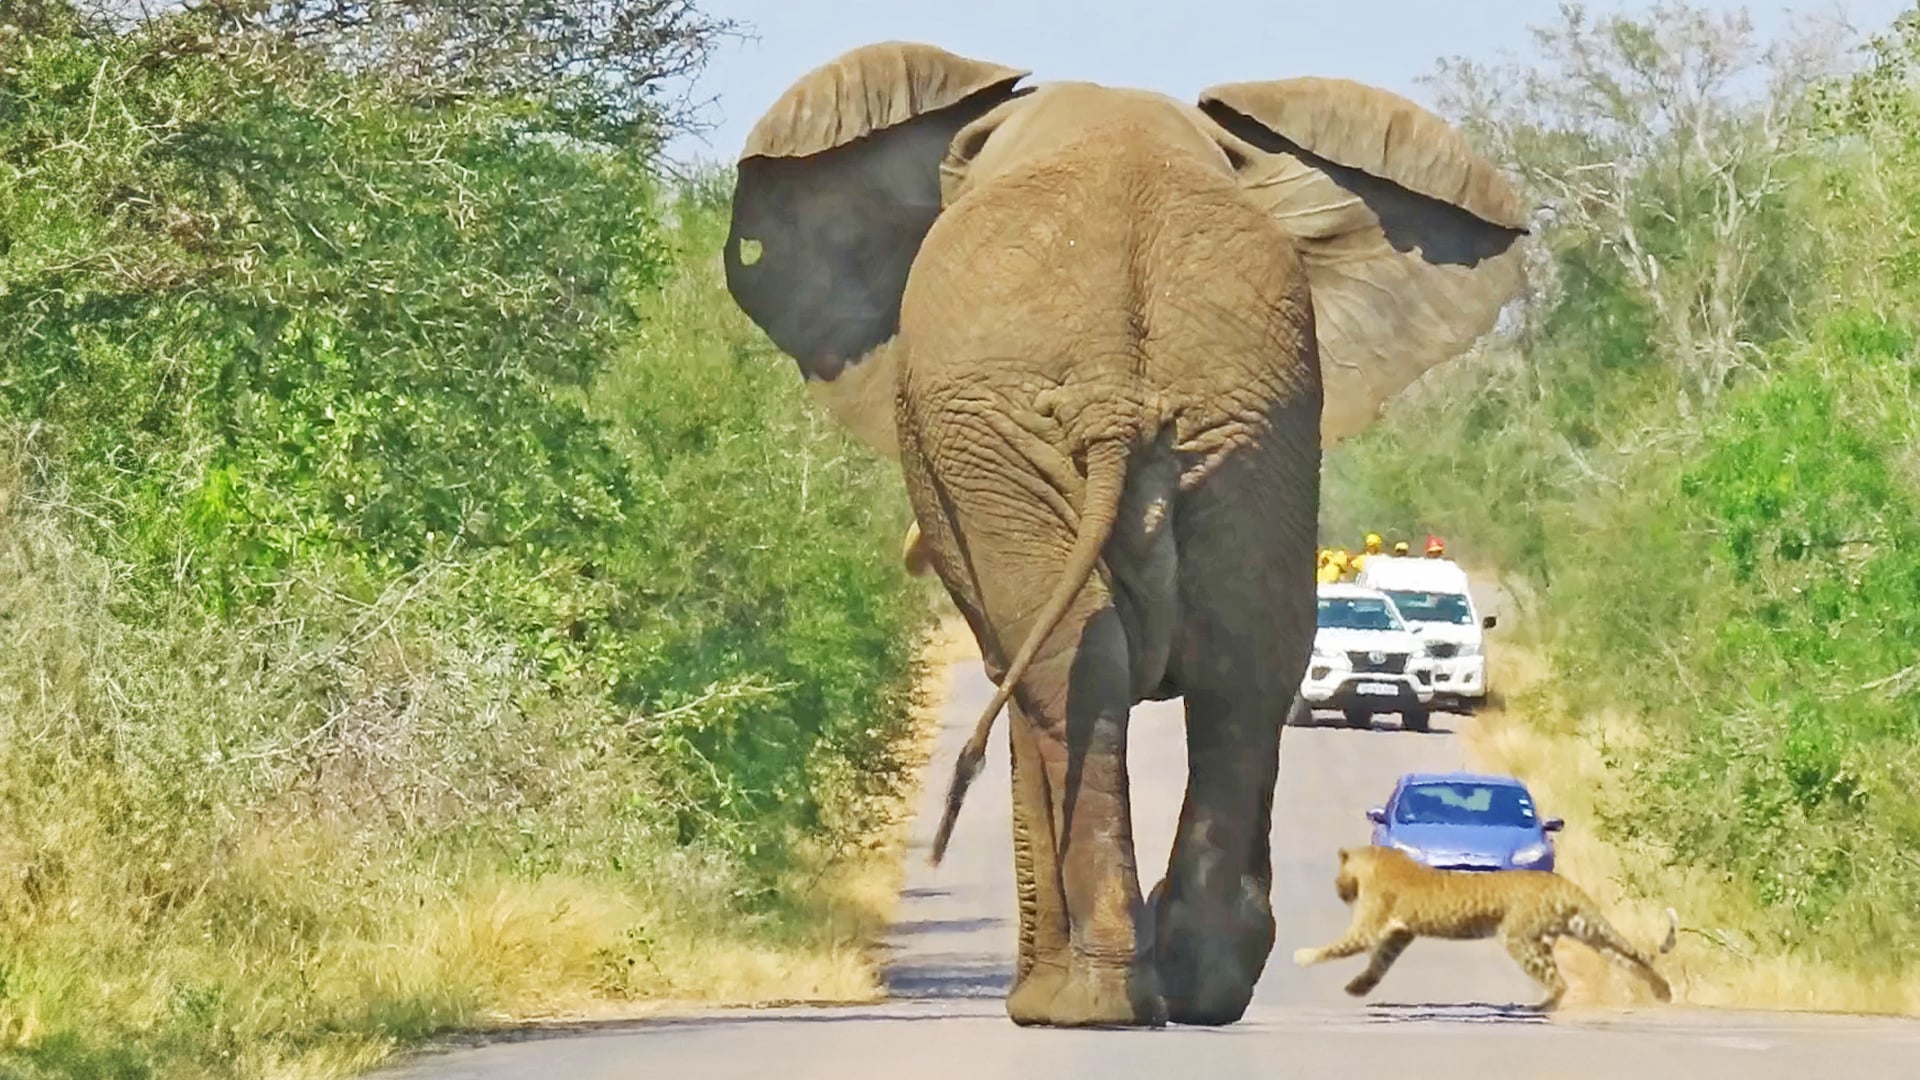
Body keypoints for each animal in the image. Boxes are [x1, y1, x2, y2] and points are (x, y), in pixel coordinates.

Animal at [720, 41, 1528, 1028]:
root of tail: (1114, 383)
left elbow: (1023, 677)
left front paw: (1039, 1000)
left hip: (1014, 433)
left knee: (1073, 667)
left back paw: (1083, 1003)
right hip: (1254, 417)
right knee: (1241, 664)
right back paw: (1201, 988)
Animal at [1292, 845, 1678, 1010]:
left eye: (1338, 876)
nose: (1338, 890)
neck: (1376, 859)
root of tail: (1565, 884)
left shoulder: (1370, 927)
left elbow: (1340, 946)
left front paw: (1301, 956)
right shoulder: (1400, 933)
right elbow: (1379, 964)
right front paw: (1358, 988)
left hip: (1518, 936)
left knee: (1559, 980)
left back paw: (1539, 1007)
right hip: (1584, 930)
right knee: (1631, 958)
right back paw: (1662, 993)